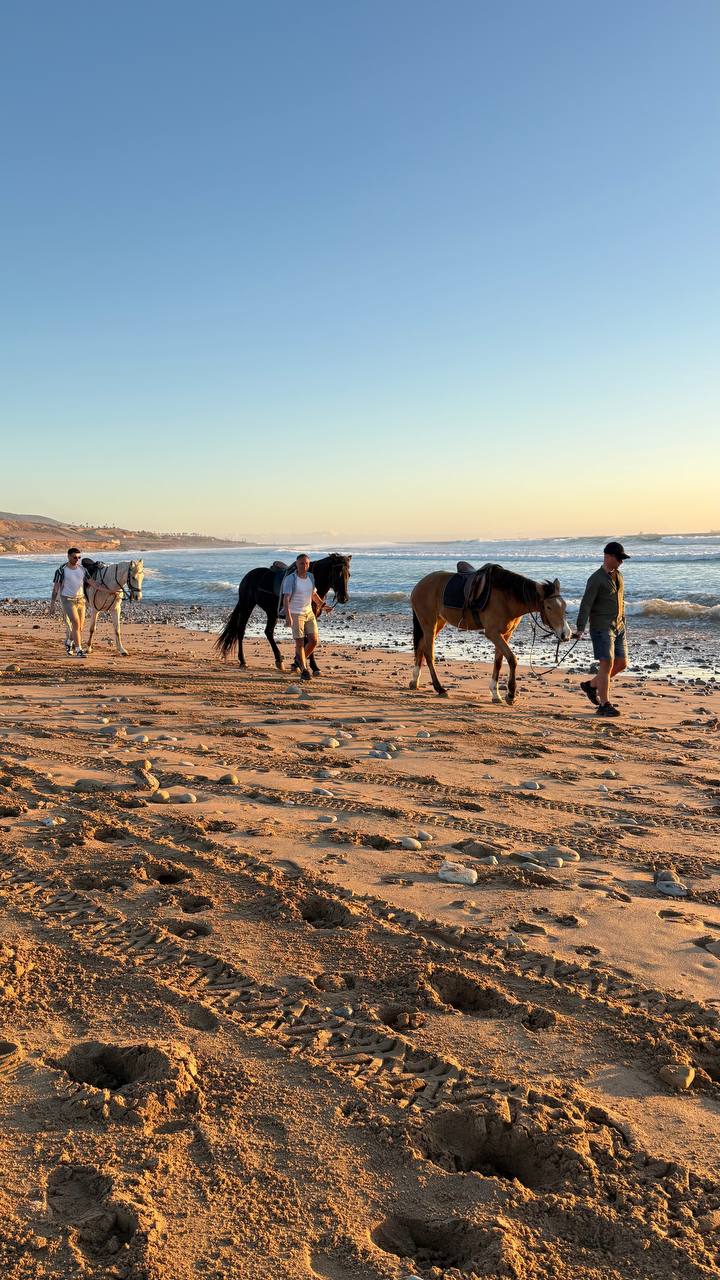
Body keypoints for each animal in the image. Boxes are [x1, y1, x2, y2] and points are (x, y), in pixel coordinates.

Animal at [215, 553, 352, 672]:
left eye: (349, 575)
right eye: (338, 573)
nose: (344, 598)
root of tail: (247, 577)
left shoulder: (312, 618)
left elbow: (309, 640)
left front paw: (301, 664)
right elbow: (307, 640)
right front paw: (309, 666)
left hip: (271, 612)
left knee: (268, 632)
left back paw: (279, 660)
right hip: (247, 606)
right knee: (241, 630)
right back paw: (243, 660)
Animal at [410, 562, 572, 702]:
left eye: (564, 606)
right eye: (549, 607)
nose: (566, 634)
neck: (507, 598)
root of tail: (419, 585)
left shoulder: (505, 634)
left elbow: (498, 662)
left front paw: (495, 693)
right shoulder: (493, 633)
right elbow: (512, 659)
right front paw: (510, 694)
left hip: (438, 623)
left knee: (421, 647)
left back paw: (414, 681)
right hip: (429, 624)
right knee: (429, 653)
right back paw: (439, 688)